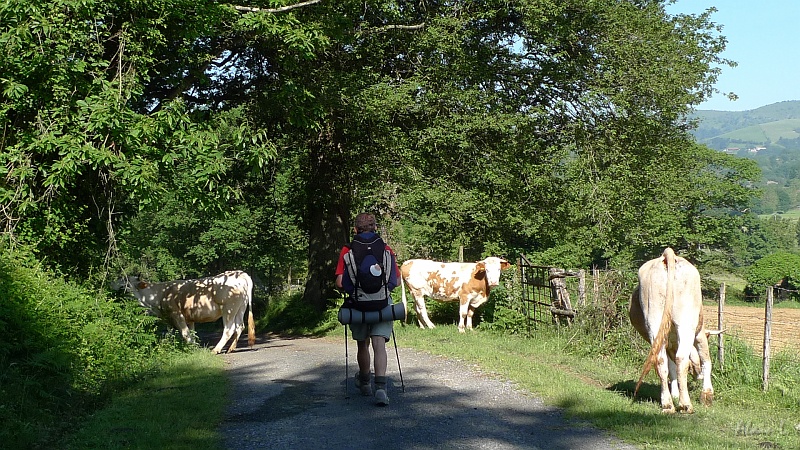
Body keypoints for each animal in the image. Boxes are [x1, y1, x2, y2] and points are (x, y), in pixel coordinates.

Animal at [114, 270, 253, 356]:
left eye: (126, 281)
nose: (113, 285)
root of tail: (240, 273)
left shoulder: (176, 314)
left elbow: (185, 333)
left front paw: (195, 348)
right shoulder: (175, 319)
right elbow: (174, 334)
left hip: (228, 309)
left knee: (229, 329)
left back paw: (216, 349)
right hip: (240, 308)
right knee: (240, 326)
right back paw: (230, 349)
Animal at [628, 248, 716, 414]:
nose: (698, 376)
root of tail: (668, 255)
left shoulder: (669, 344)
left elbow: (671, 368)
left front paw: (674, 393)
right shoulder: (700, 335)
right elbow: (706, 360)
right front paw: (707, 394)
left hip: (654, 322)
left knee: (660, 360)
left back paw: (668, 404)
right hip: (686, 324)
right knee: (682, 358)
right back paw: (685, 404)